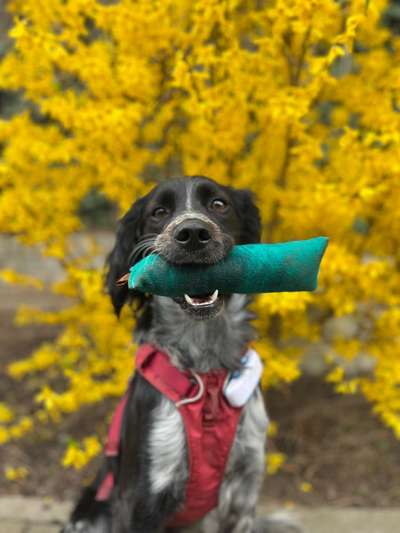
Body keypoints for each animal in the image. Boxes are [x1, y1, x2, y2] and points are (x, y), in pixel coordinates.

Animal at [62, 177, 300, 528]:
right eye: (159, 212)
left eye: (219, 204)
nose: (193, 233)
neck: (207, 370)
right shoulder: (144, 497)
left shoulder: (243, 492)